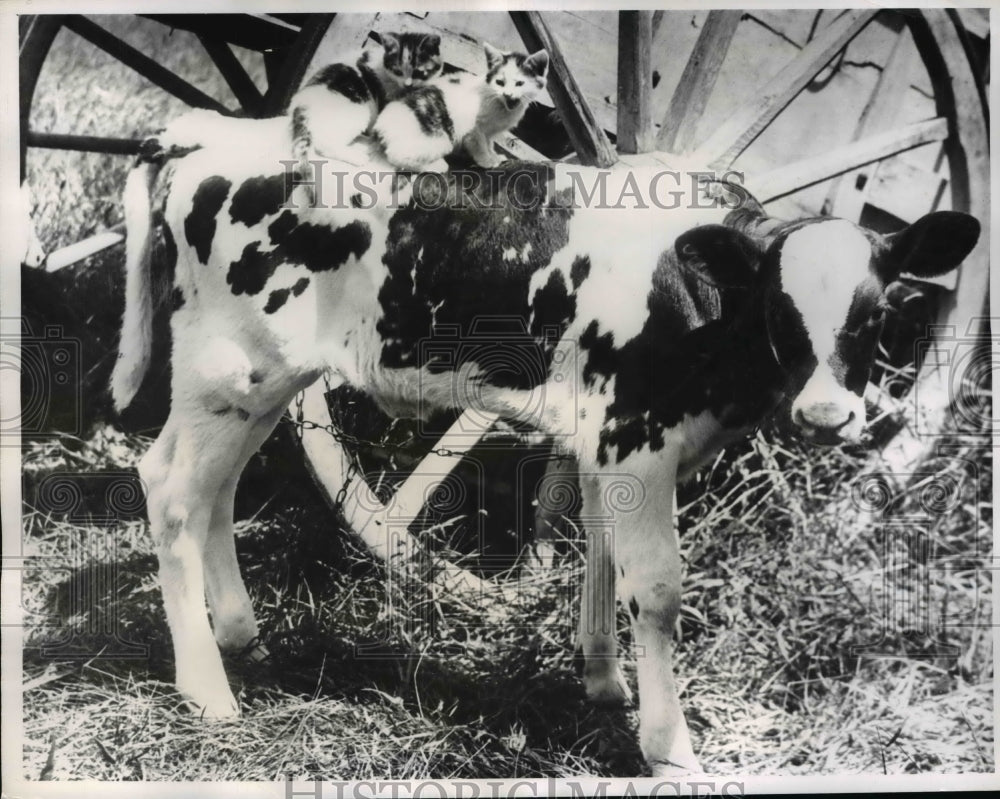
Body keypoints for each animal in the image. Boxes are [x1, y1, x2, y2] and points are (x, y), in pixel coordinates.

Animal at [111, 138, 976, 776]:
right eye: (780, 310)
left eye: (875, 315)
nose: (828, 415)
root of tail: (200, 144)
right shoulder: (637, 437)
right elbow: (656, 588)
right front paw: (670, 746)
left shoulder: (605, 439)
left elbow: (598, 549)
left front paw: (603, 679)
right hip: (230, 369)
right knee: (173, 492)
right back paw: (208, 690)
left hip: (255, 384)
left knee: (213, 489)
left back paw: (239, 634)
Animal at [374, 44, 552, 172]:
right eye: (500, 82)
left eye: (520, 83)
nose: (507, 94)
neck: (501, 104)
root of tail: (379, 130)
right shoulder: (475, 127)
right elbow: (479, 143)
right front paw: (487, 161)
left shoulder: (490, 131)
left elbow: (489, 142)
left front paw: (494, 156)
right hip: (440, 139)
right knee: (396, 156)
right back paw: (436, 166)